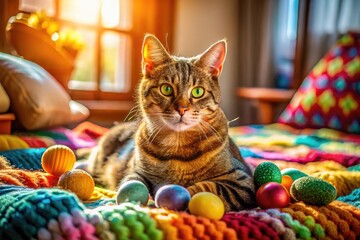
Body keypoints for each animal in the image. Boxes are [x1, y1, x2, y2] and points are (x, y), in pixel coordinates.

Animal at [87, 34, 256, 212]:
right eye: (166, 89)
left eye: (198, 91)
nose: (182, 109)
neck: (177, 145)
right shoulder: (135, 171)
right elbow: (131, 182)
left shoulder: (242, 181)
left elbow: (205, 188)